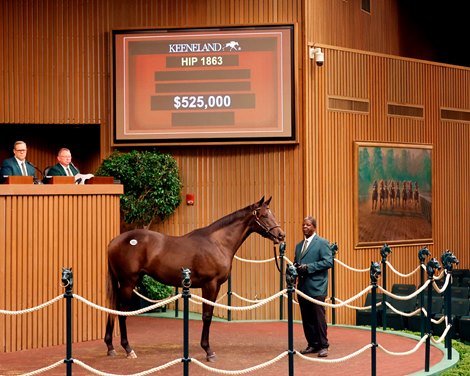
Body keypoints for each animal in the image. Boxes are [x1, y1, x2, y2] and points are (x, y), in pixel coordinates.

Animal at [104, 197, 284, 362]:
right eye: (263, 215)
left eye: (273, 213)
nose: (281, 235)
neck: (218, 243)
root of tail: (113, 242)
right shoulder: (210, 285)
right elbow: (207, 316)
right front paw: (208, 351)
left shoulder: (214, 286)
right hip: (128, 283)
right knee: (121, 312)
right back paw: (128, 349)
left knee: (113, 308)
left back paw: (110, 346)